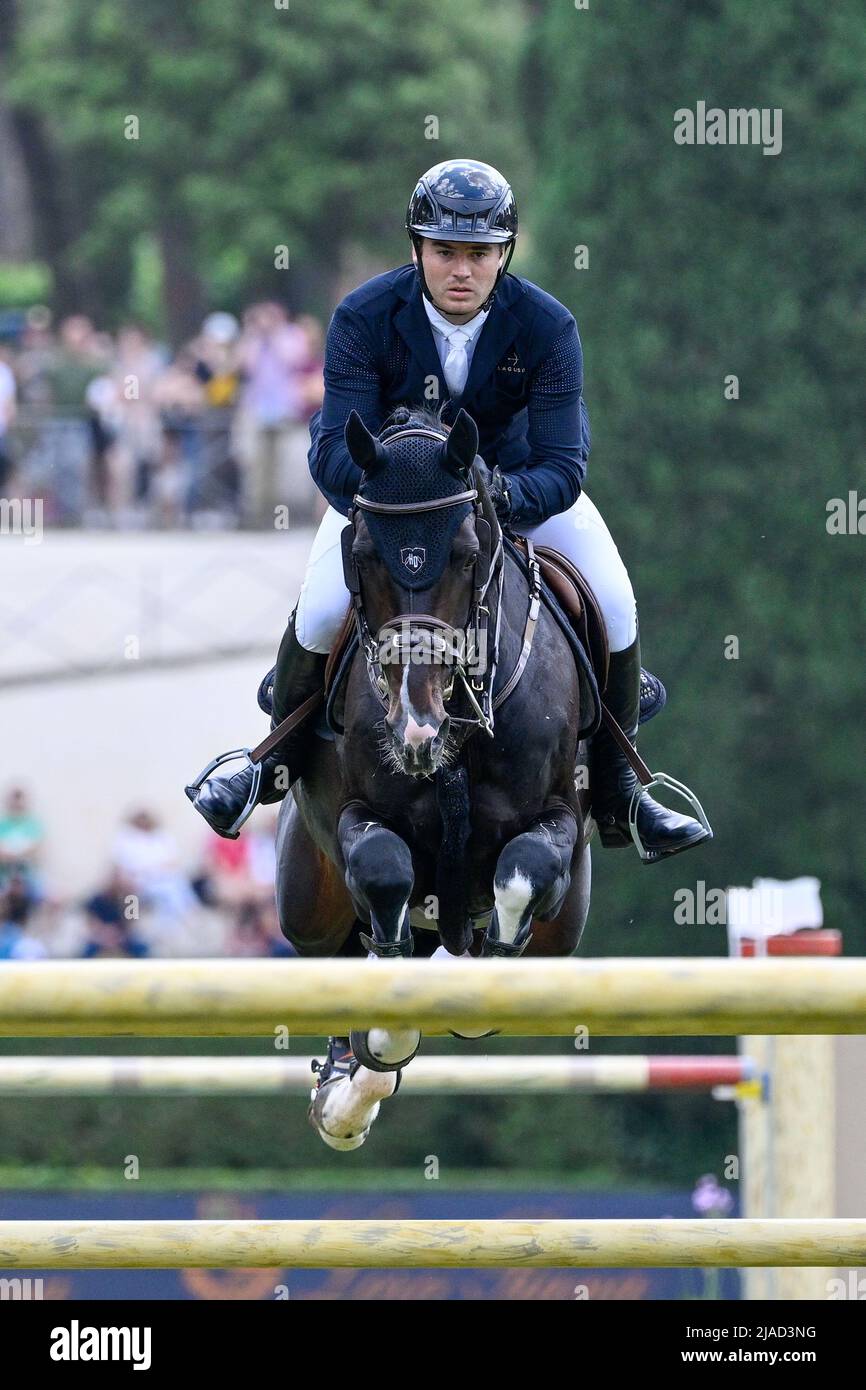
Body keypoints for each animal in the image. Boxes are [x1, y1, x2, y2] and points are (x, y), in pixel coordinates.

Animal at [273, 405, 592, 1150]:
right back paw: (344, 1092)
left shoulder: (559, 817)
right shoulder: (357, 817)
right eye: (360, 555)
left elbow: (524, 872)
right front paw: (385, 1033)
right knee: (336, 953)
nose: (415, 727)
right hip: (306, 900)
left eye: (468, 555)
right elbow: (385, 874)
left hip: (564, 932)